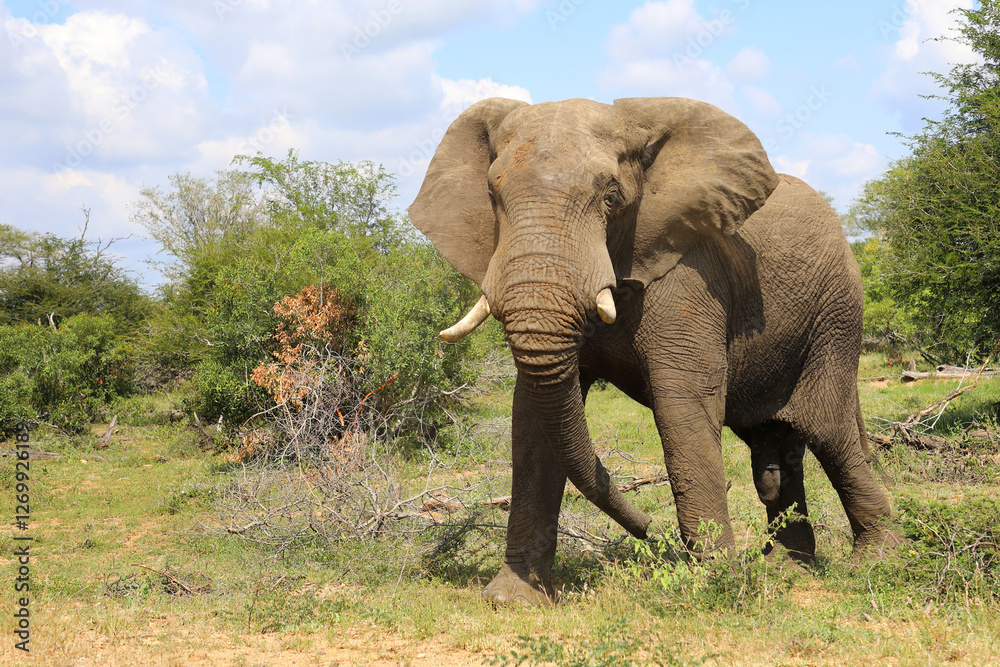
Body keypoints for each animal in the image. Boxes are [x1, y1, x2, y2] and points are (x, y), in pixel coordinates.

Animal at [408, 96, 894, 606]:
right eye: (492, 193)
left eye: (611, 197)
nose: (649, 529)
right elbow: (533, 424)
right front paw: (513, 599)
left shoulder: (691, 275)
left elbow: (682, 405)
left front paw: (716, 585)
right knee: (776, 450)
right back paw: (788, 566)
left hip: (837, 313)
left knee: (828, 430)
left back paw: (875, 562)